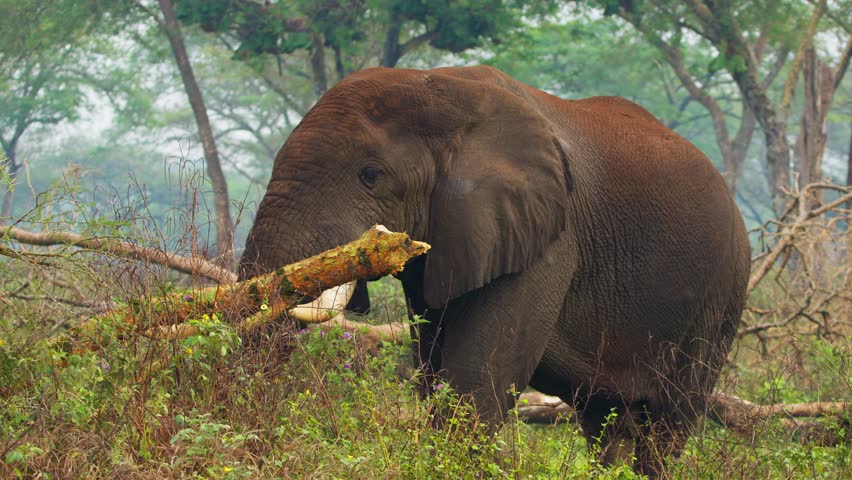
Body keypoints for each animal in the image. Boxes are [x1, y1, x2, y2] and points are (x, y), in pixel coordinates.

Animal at [238, 65, 751, 477]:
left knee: (669, 419)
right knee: (608, 421)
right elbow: (433, 366)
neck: (438, 86)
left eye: (370, 175)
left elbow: (479, 374)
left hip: (720, 296)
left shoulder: (549, 238)